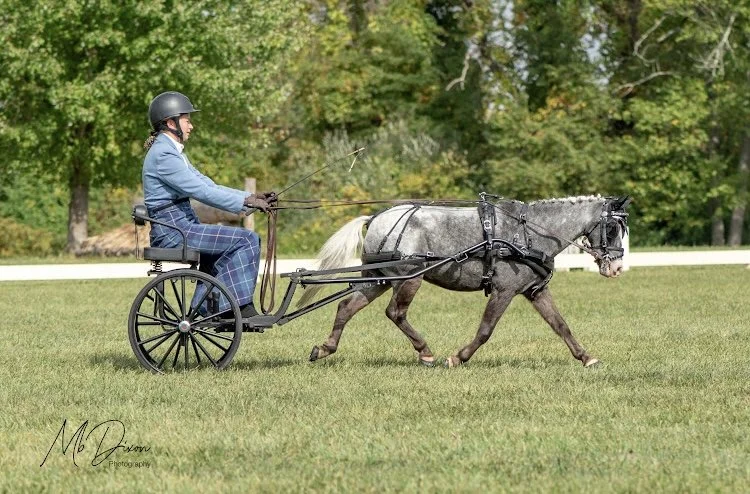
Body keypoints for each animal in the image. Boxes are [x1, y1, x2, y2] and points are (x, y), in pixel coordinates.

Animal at [303, 194, 631, 368]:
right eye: (612, 228)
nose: (616, 268)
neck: (529, 233)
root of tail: (375, 218)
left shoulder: (535, 291)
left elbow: (560, 325)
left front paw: (585, 357)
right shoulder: (504, 290)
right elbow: (486, 330)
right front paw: (459, 357)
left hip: (377, 279)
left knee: (347, 306)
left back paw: (325, 348)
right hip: (408, 279)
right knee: (395, 313)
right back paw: (425, 351)